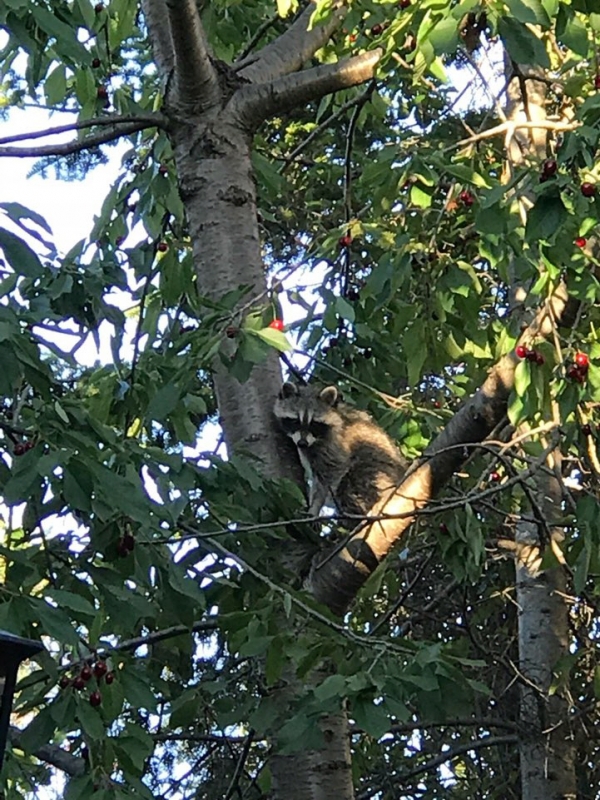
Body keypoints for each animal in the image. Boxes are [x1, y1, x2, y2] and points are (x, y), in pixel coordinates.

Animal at [274, 382, 408, 520]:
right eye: (295, 421)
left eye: (314, 424)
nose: (302, 443)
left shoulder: (335, 445)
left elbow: (333, 472)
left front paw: (315, 505)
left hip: (376, 470)